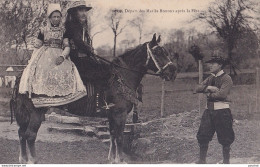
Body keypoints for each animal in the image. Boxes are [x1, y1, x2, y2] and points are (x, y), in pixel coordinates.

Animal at [10, 33, 177, 163]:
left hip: (25, 114)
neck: (123, 76)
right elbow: (120, 137)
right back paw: (33, 160)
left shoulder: (111, 114)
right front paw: (120, 160)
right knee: (30, 135)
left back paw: (23, 159)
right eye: (158, 52)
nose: (173, 72)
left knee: (21, 134)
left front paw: (112, 159)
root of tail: (21, 77)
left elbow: (113, 135)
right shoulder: (120, 113)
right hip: (36, 113)